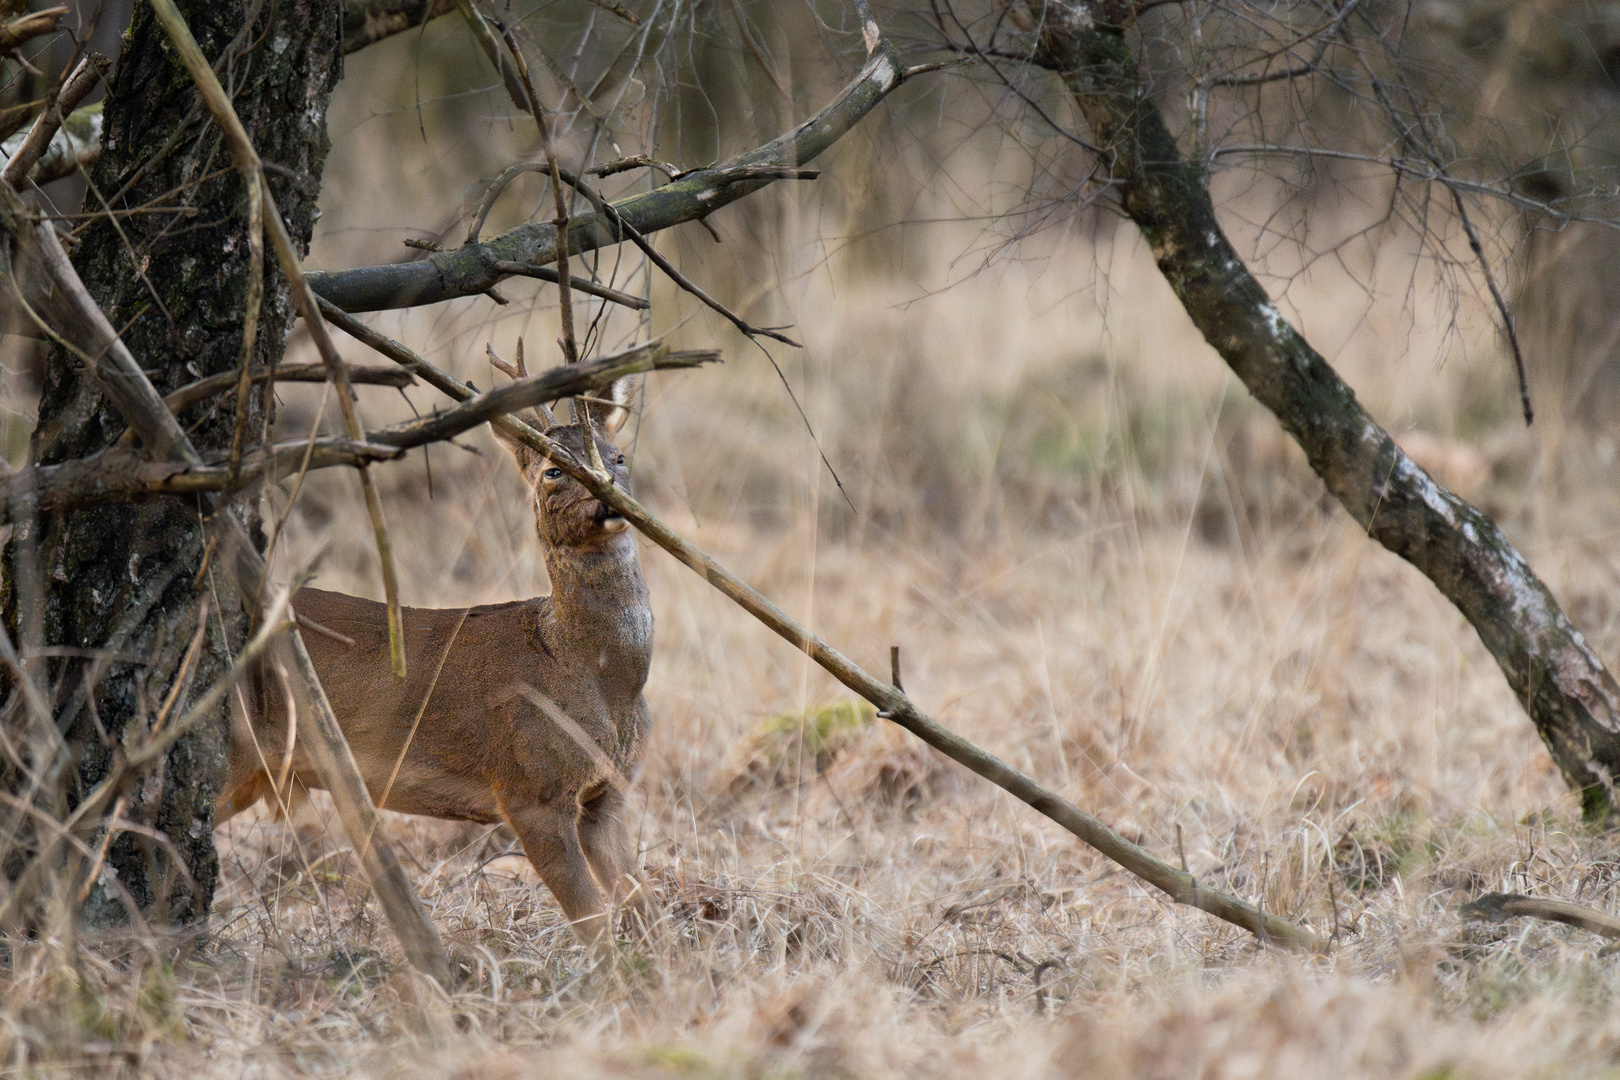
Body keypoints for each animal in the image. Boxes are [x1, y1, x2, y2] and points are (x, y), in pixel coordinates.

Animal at [218, 382, 654, 952]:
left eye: (618, 457)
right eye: (553, 471)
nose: (606, 496)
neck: (590, 670)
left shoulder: (607, 795)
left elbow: (644, 907)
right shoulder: (529, 788)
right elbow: (594, 925)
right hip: (232, 750)